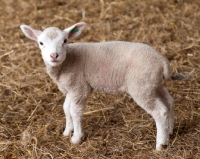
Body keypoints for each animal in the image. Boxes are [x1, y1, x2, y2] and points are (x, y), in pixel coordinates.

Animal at [19, 22, 174, 150]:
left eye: (65, 41)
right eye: (41, 43)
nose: (54, 55)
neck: (68, 61)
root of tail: (163, 62)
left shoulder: (79, 88)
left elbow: (75, 112)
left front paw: (76, 138)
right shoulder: (71, 88)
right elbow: (66, 109)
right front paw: (67, 131)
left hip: (141, 86)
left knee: (160, 111)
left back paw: (161, 144)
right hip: (152, 84)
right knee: (168, 102)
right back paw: (170, 130)